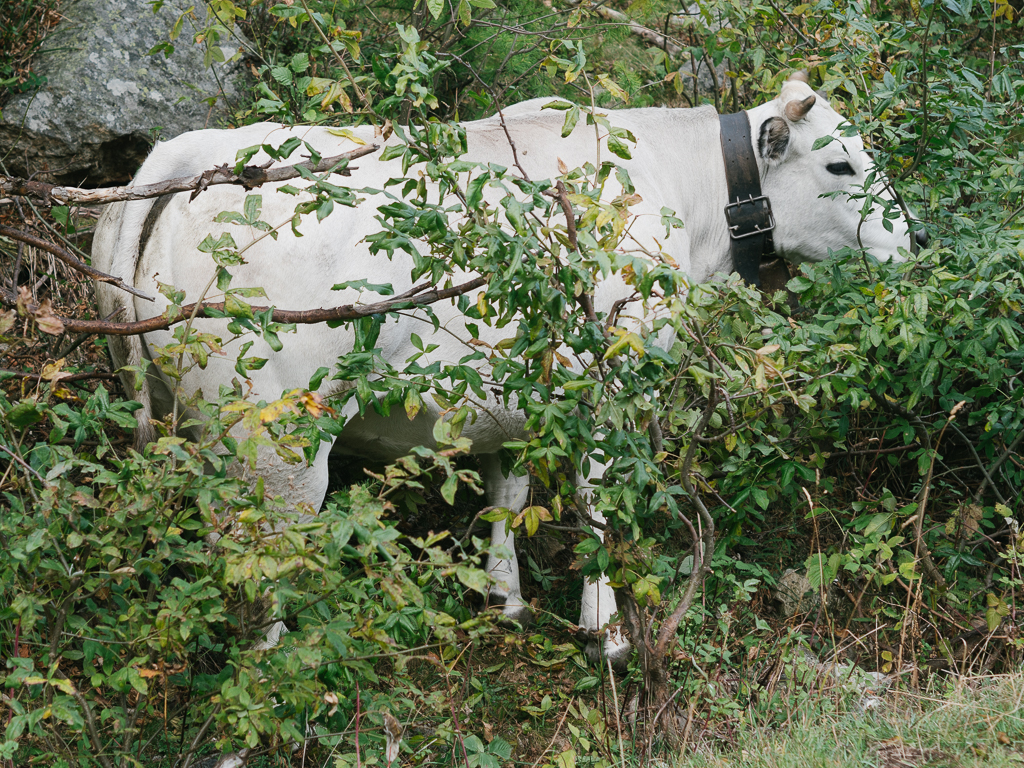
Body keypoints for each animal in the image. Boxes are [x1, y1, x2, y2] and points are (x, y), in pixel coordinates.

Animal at [94, 76, 913, 667]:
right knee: (261, 557)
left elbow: (509, 492)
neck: (682, 196)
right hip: (279, 439)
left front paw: (505, 597)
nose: (910, 243)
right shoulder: (610, 379)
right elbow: (595, 502)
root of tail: (184, 155)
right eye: (839, 162)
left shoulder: (517, 393)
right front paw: (606, 633)